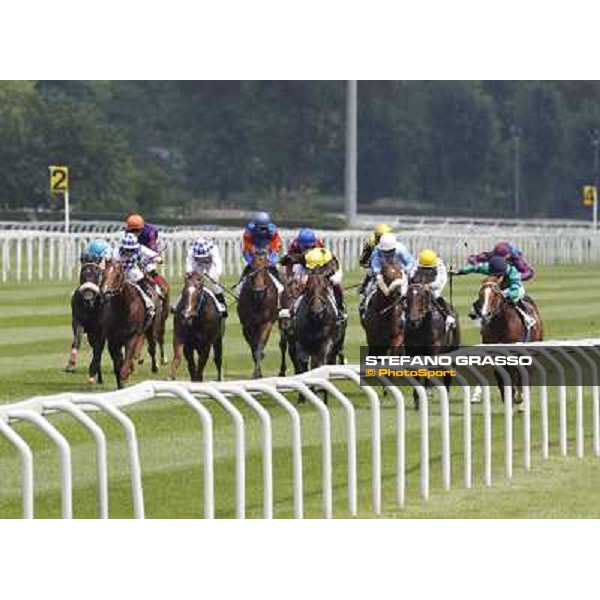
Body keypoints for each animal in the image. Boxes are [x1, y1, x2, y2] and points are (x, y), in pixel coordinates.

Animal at [99, 258, 158, 390]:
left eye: (117, 275)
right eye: (103, 274)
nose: (104, 293)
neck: (123, 309)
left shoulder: (131, 337)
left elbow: (123, 369)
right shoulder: (113, 340)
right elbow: (118, 367)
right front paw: (121, 385)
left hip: (152, 327)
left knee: (152, 347)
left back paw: (154, 367)